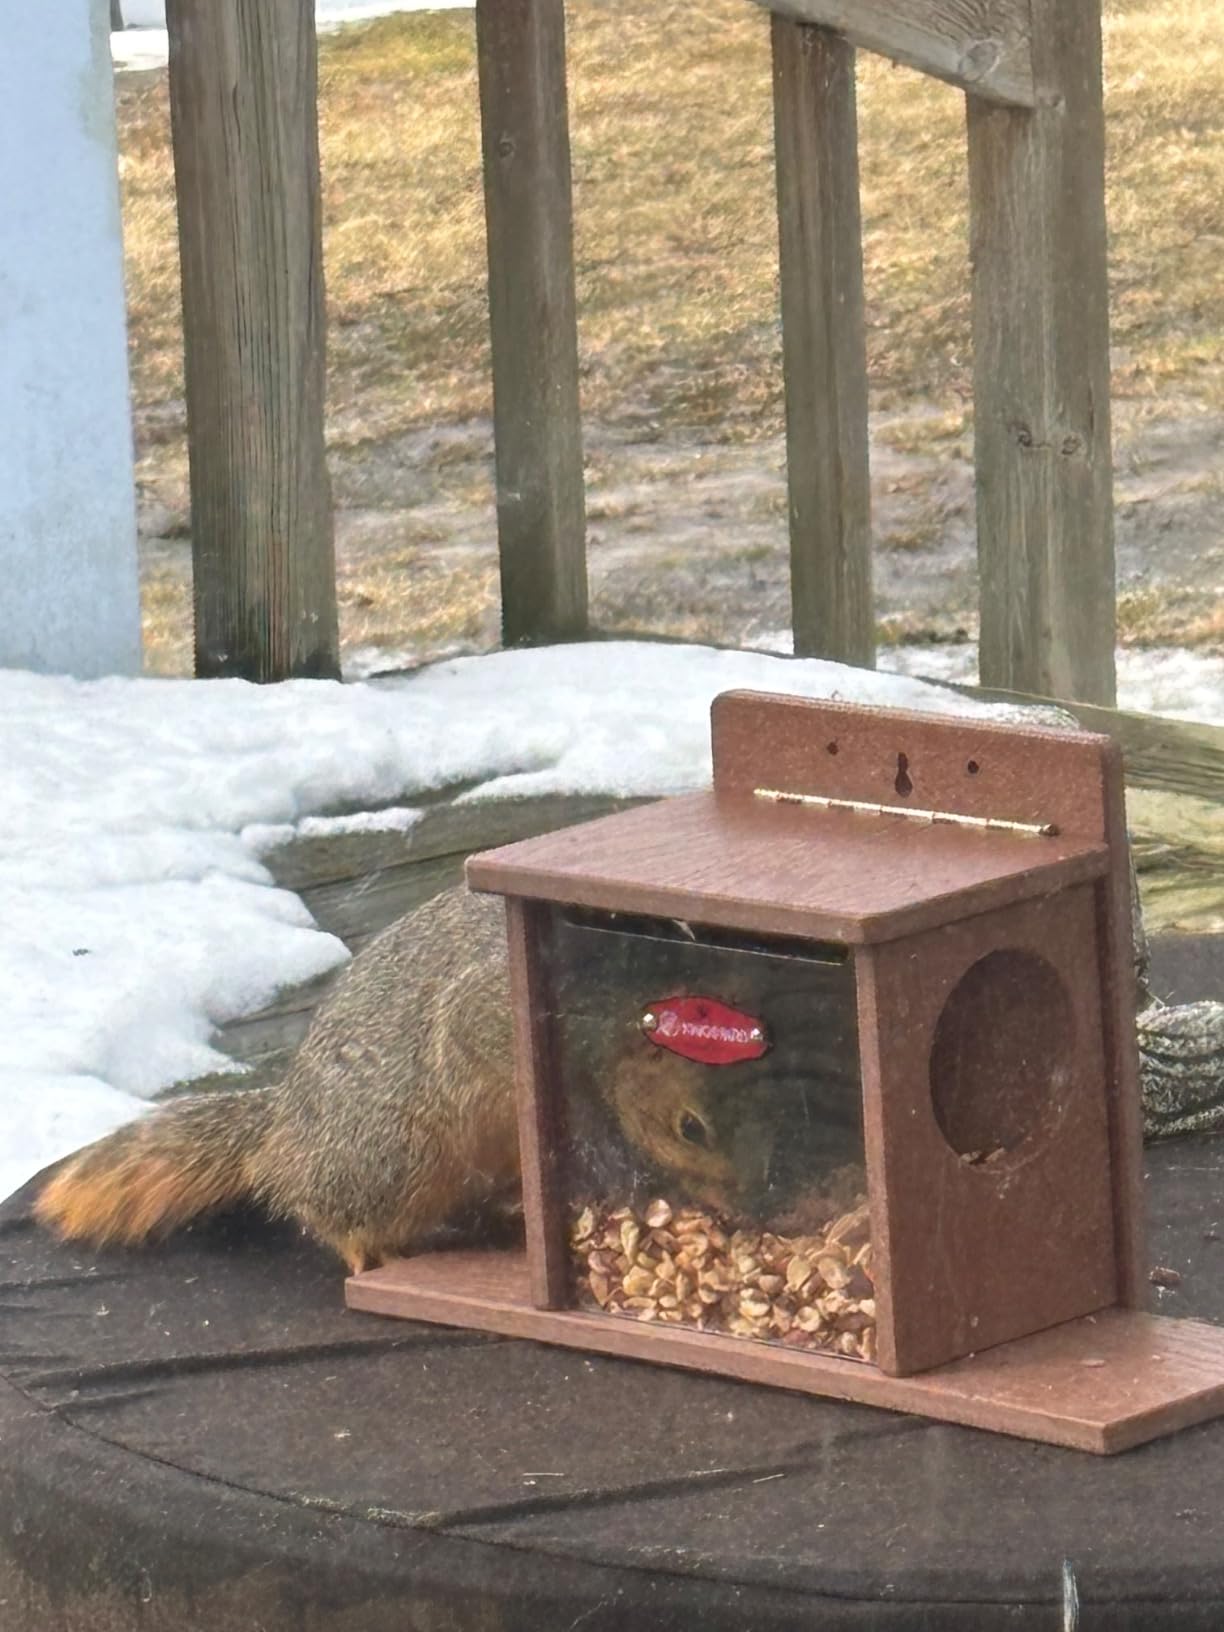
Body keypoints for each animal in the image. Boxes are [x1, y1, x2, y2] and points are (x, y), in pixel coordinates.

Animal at [34, 886, 784, 1274]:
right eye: (690, 1128)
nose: (755, 1207)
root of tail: (284, 1126)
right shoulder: (493, 1012)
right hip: (389, 1158)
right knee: (325, 1207)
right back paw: (366, 1250)